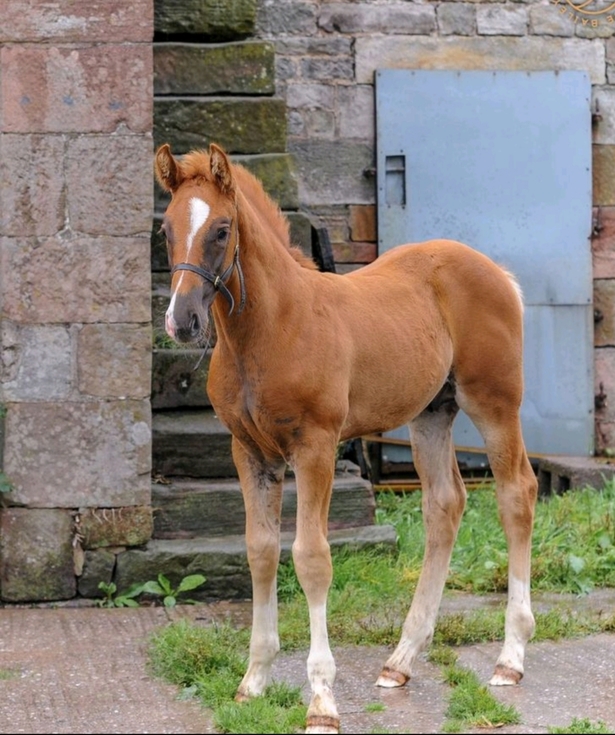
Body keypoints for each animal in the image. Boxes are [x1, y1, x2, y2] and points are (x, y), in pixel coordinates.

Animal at [154, 142, 538, 735]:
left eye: (221, 229)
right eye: (166, 230)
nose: (183, 320)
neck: (270, 329)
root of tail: (495, 270)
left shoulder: (316, 446)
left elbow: (311, 558)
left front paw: (321, 701)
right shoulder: (250, 452)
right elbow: (260, 552)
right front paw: (253, 681)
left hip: (494, 402)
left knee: (517, 493)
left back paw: (509, 658)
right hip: (432, 412)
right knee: (445, 505)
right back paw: (401, 660)